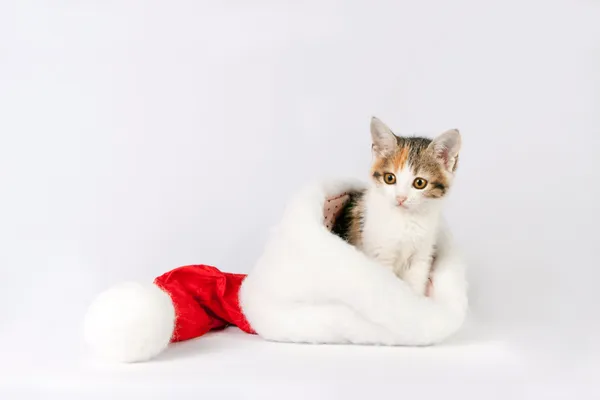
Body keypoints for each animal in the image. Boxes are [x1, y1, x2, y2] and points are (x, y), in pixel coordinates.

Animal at [330, 115, 462, 294]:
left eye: (419, 183)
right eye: (389, 178)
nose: (400, 198)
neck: (405, 220)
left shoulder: (421, 257)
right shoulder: (380, 255)